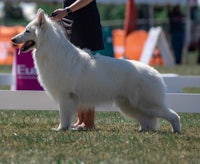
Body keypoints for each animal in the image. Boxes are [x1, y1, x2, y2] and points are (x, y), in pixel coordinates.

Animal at [11, 8, 181, 132]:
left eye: (27, 31)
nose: (12, 40)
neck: (53, 51)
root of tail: (155, 72)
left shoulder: (65, 96)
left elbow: (64, 115)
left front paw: (60, 129)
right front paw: (68, 128)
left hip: (147, 104)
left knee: (173, 115)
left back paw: (176, 131)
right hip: (130, 106)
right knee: (147, 120)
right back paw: (143, 130)